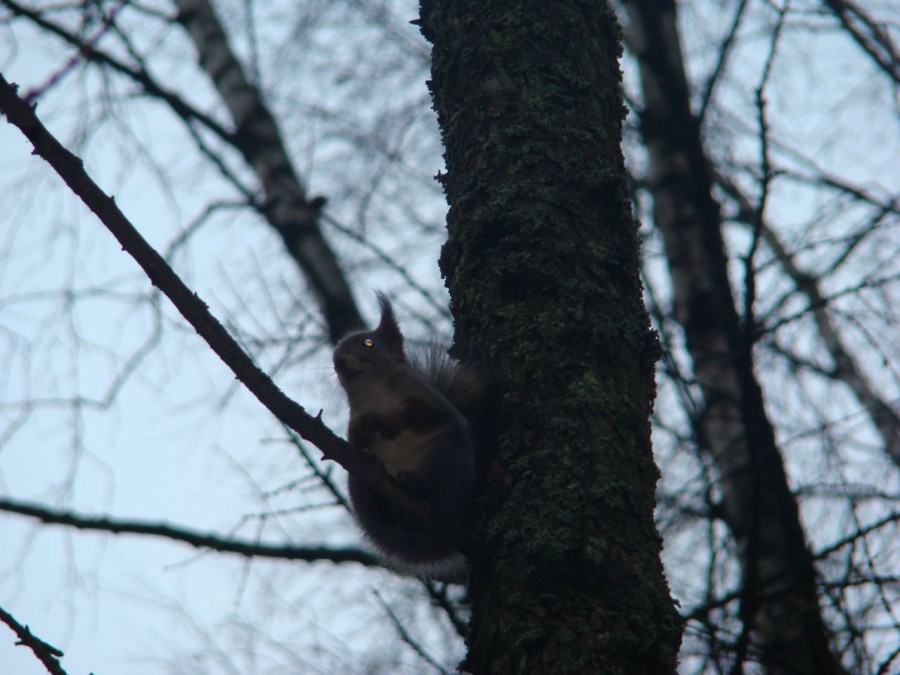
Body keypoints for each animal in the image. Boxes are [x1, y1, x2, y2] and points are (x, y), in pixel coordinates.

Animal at [332, 294, 486, 584]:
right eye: (335, 351)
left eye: (368, 343)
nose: (338, 361)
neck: (373, 390)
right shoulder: (356, 413)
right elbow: (355, 440)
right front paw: (366, 426)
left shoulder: (428, 399)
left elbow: (423, 412)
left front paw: (393, 420)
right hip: (355, 479)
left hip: (444, 455)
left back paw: (416, 483)